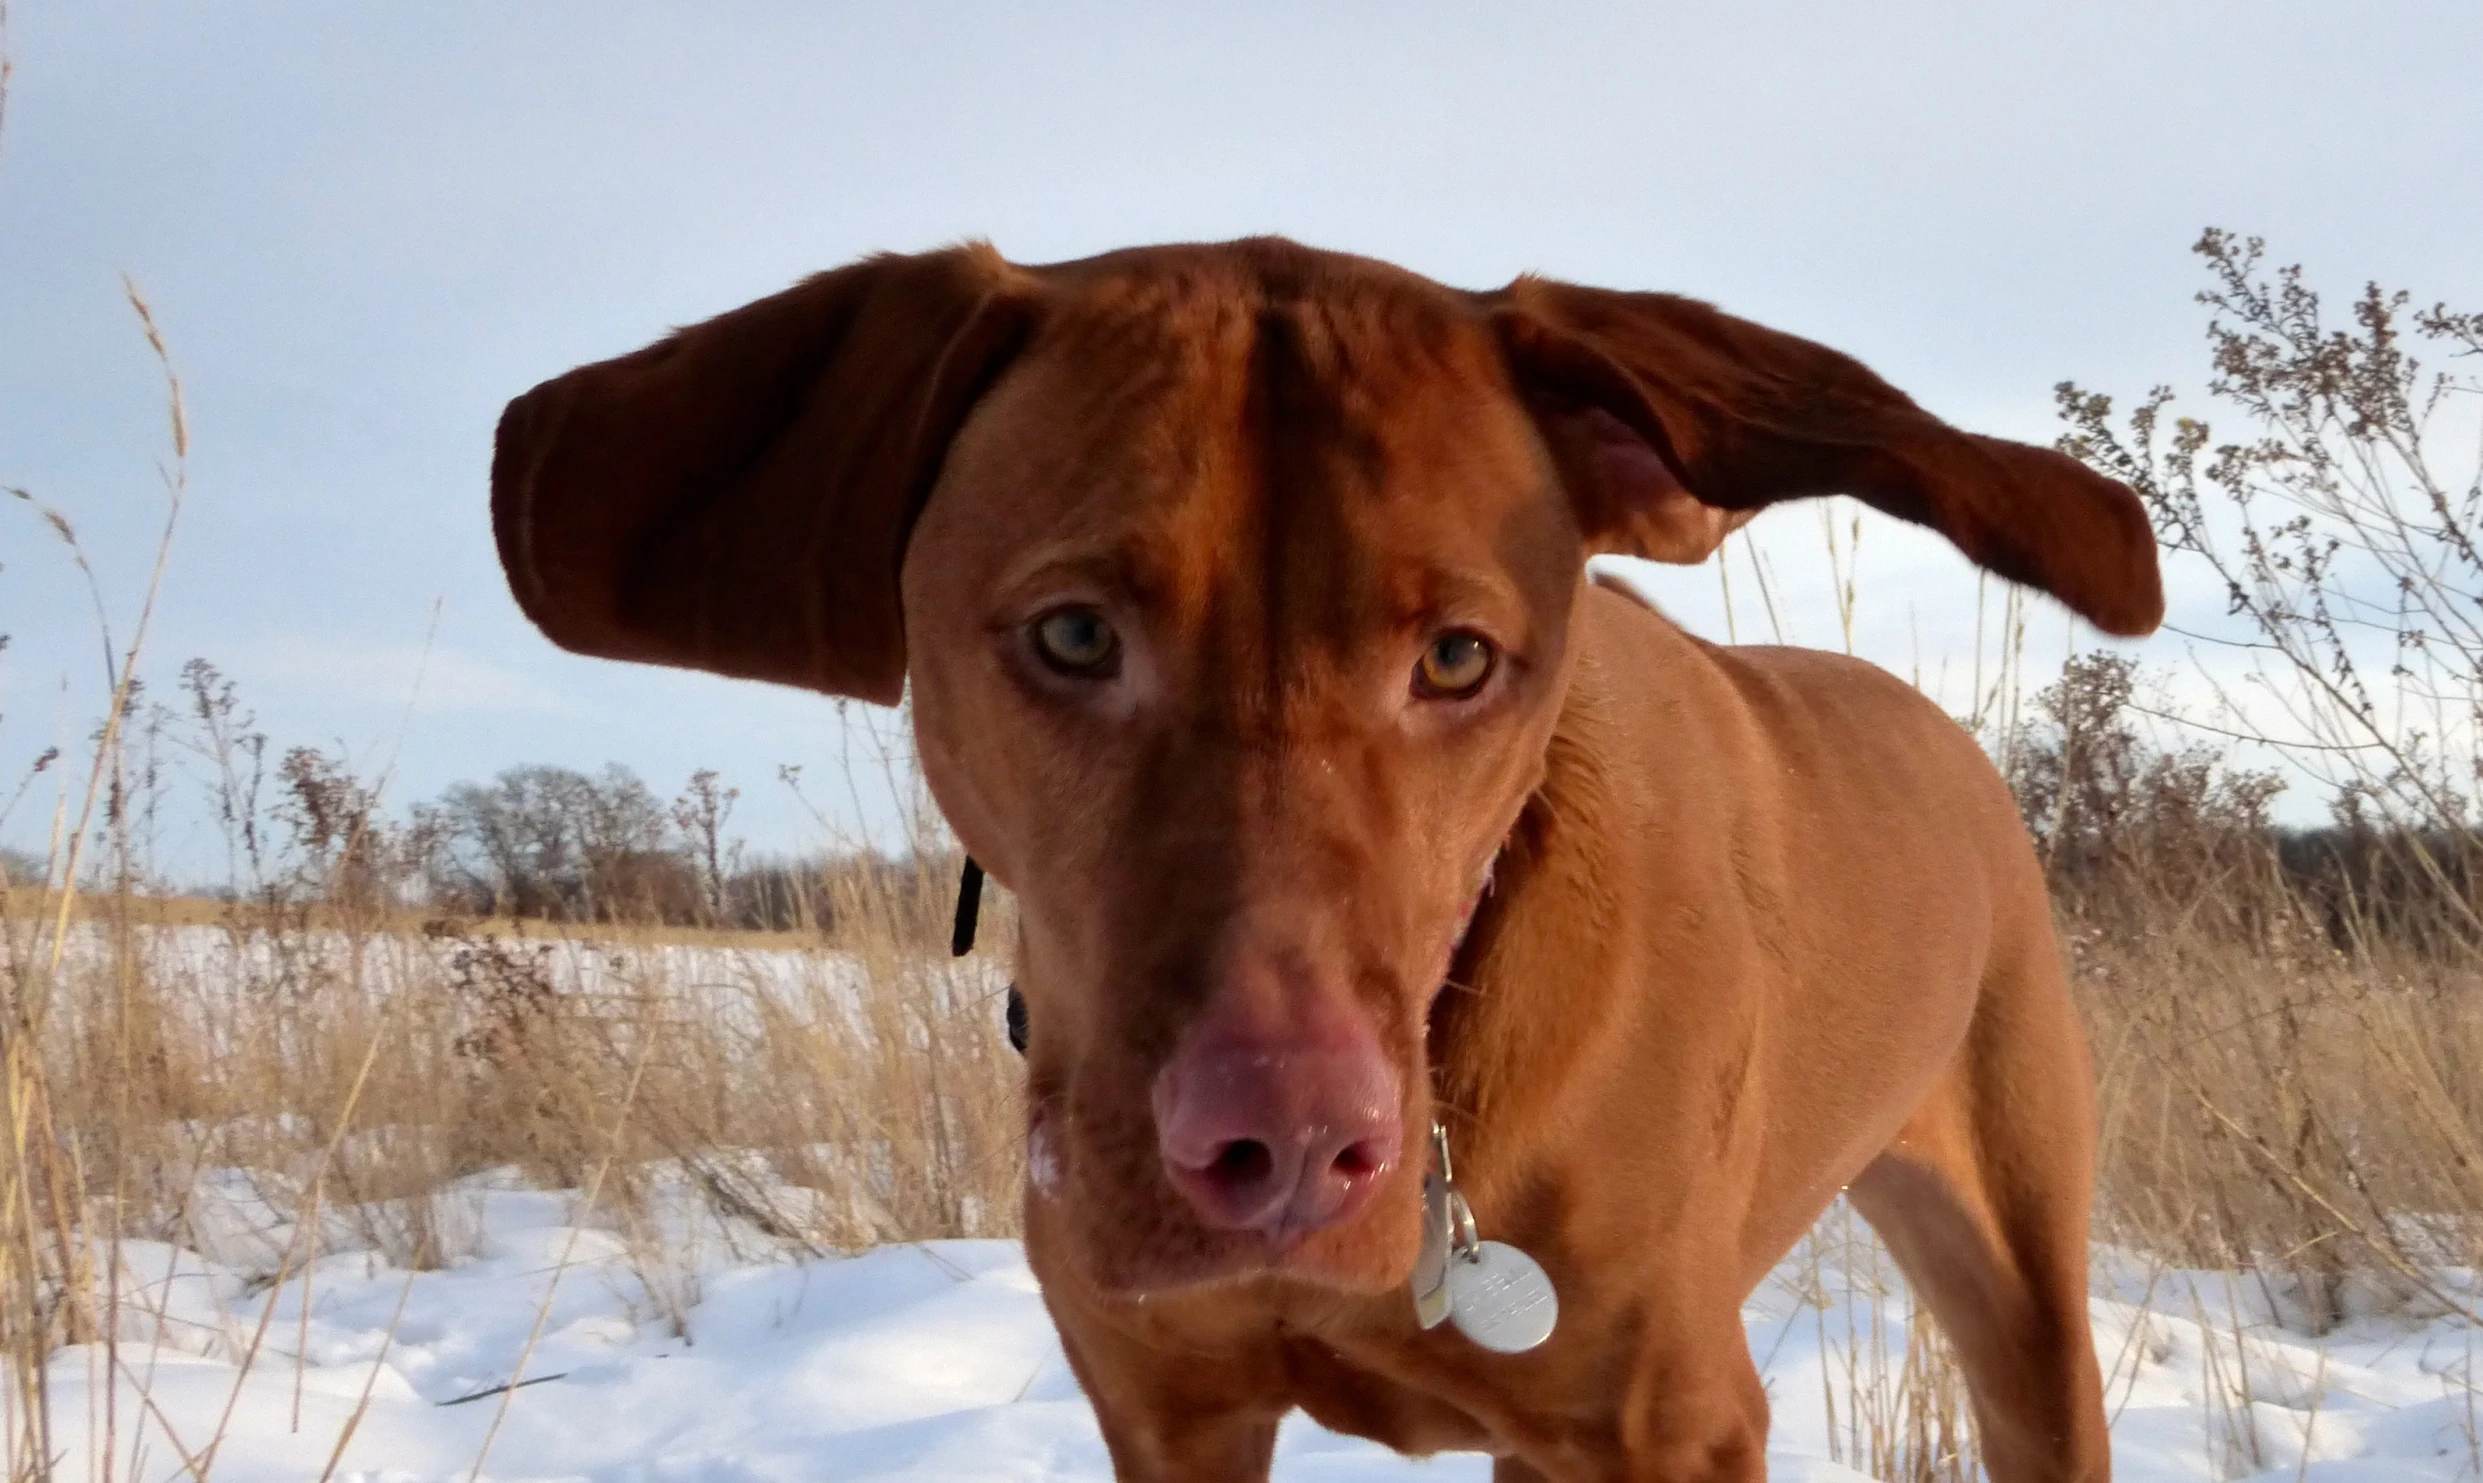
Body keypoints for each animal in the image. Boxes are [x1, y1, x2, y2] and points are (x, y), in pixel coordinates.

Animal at [489, 237, 2155, 1470]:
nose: (1283, 1145)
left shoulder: (1657, 1426)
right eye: (1074, 633)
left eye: (1459, 656)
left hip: (2020, 1296)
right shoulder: (1169, 1410)